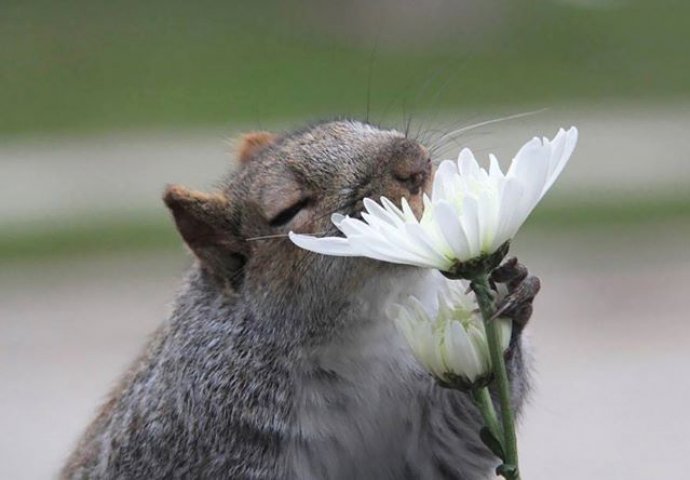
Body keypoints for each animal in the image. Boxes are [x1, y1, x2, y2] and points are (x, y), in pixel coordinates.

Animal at [61, 120, 536, 480]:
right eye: (289, 209)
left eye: (357, 124)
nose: (414, 162)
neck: (361, 333)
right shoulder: (209, 436)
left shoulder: (426, 429)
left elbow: (463, 435)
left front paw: (510, 295)